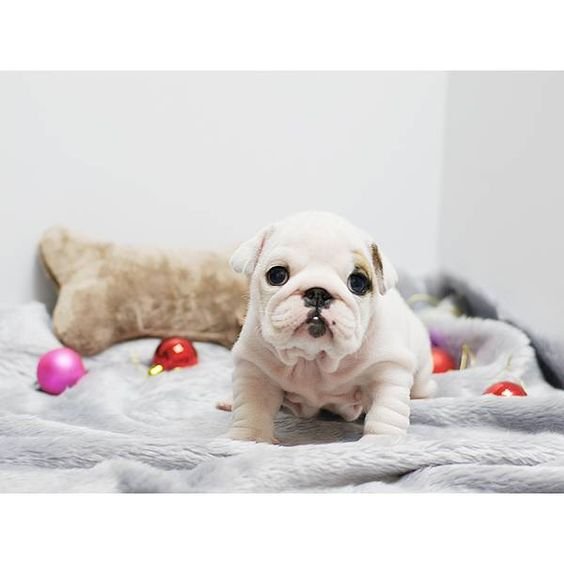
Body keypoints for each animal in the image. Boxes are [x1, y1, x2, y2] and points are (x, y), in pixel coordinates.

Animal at [227, 209, 434, 442]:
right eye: (277, 275)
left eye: (358, 283)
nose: (318, 292)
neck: (314, 359)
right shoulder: (256, 371)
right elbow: (252, 407)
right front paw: (249, 438)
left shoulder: (388, 370)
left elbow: (386, 411)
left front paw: (383, 441)